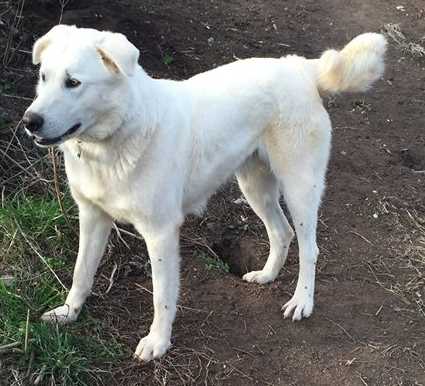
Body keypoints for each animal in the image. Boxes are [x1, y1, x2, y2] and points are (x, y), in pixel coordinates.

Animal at [24, 24, 388, 362]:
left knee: (309, 247)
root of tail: (298, 67)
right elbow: (80, 273)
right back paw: (267, 275)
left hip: (300, 187)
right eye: (43, 77)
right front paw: (68, 312)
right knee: (281, 232)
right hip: (254, 185)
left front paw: (158, 342)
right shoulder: (92, 217)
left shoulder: (160, 233)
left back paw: (302, 301)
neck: (118, 132)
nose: (30, 121)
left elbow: (161, 295)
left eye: (73, 83)